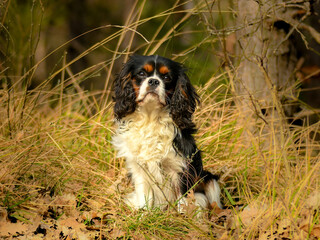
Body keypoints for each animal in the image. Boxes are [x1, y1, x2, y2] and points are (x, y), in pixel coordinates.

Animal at [111, 54, 221, 210]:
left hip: (210, 180)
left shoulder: (180, 168)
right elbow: (145, 199)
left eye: (167, 77)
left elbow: (183, 201)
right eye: (142, 74)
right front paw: (144, 215)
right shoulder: (139, 170)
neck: (150, 117)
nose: (153, 81)